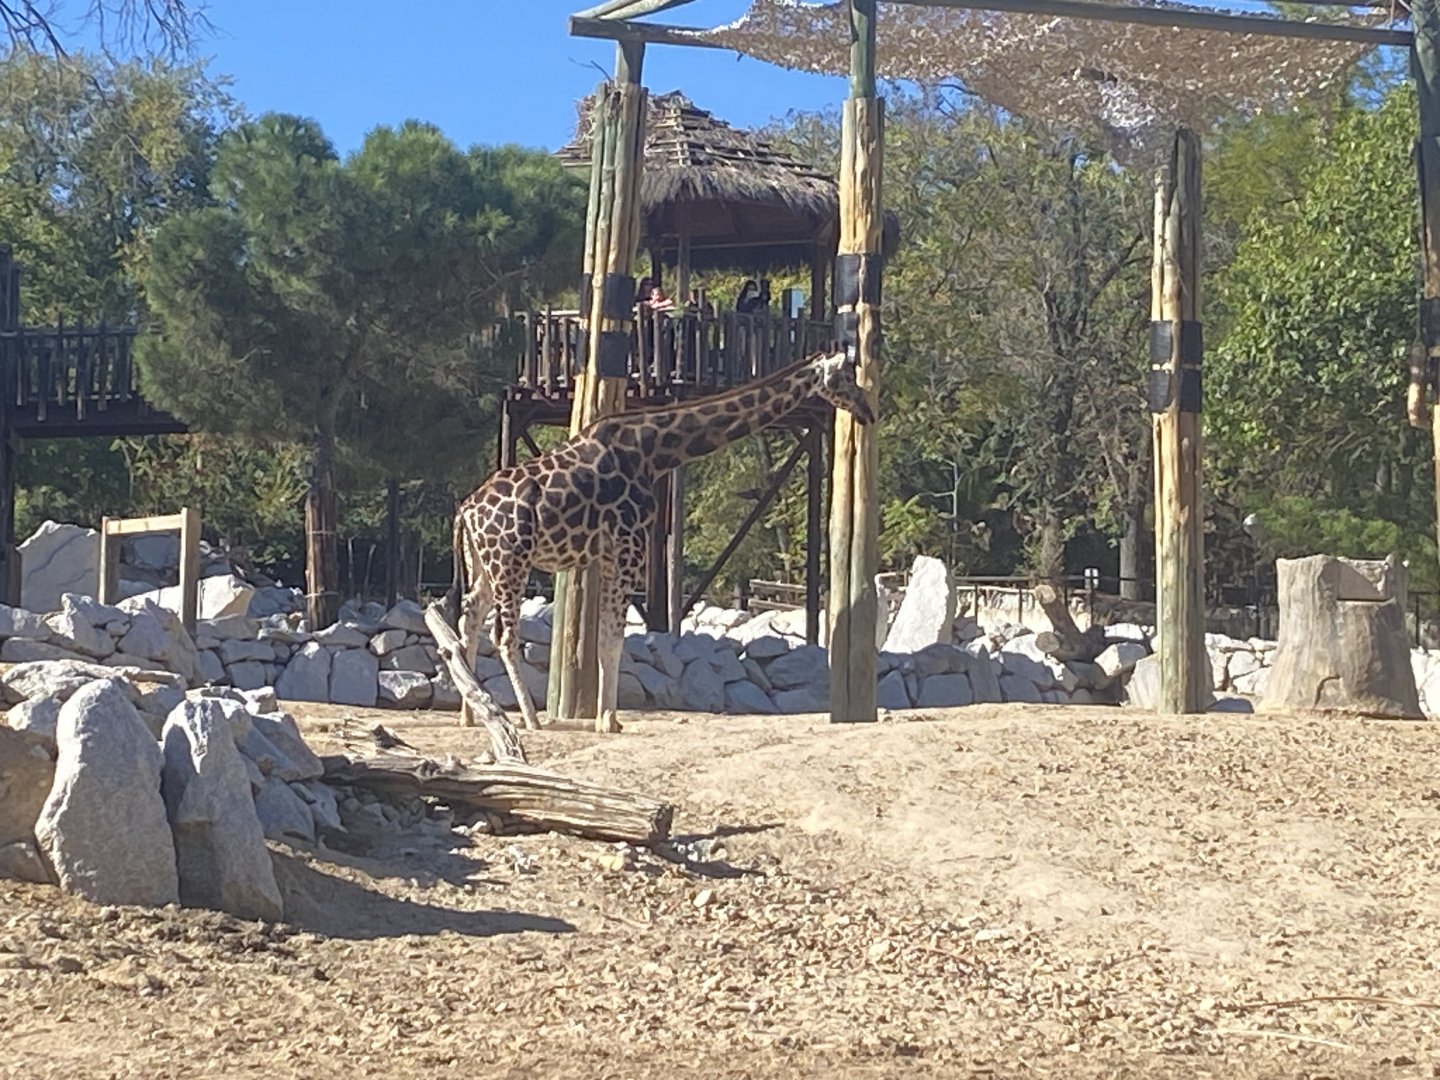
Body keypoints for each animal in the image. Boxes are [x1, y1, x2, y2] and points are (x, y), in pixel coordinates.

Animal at [450, 349, 876, 734]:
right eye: (846, 377)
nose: (868, 412)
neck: (654, 451)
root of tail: (466, 512)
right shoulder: (628, 546)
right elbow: (613, 637)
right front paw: (610, 719)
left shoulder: (608, 554)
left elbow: (606, 635)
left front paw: (608, 718)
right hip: (511, 560)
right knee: (503, 634)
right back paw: (530, 718)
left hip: (483, 564)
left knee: (469, 616)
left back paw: (474, 712)